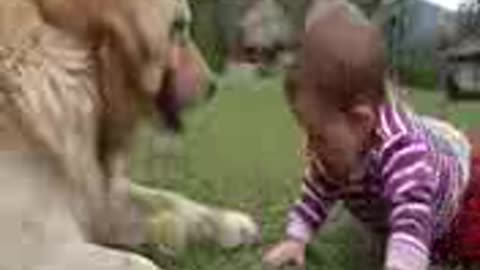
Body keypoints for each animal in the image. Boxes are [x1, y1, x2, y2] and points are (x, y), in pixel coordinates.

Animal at [0, 0, 258, 268]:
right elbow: (141, 263)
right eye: (178, 26)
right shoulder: (28, 246)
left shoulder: (99, 194)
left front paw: (227, 221)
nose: (213, 86)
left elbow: (167, 199)